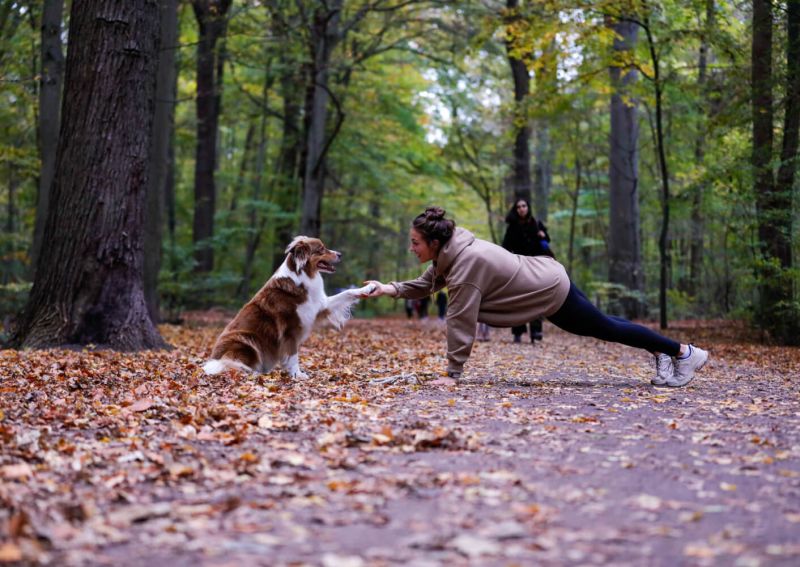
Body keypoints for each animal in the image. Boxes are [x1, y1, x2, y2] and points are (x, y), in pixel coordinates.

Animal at [203, 237, 372, 380]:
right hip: (246, 340)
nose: (340, 254)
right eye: (321, 249)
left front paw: (369, 288)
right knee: (231, 364)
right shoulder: (289, 329)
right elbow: (292, 355)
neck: (302, 277)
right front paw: (297, 374)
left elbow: (347, 293)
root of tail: (214, 358)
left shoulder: (318, 307)